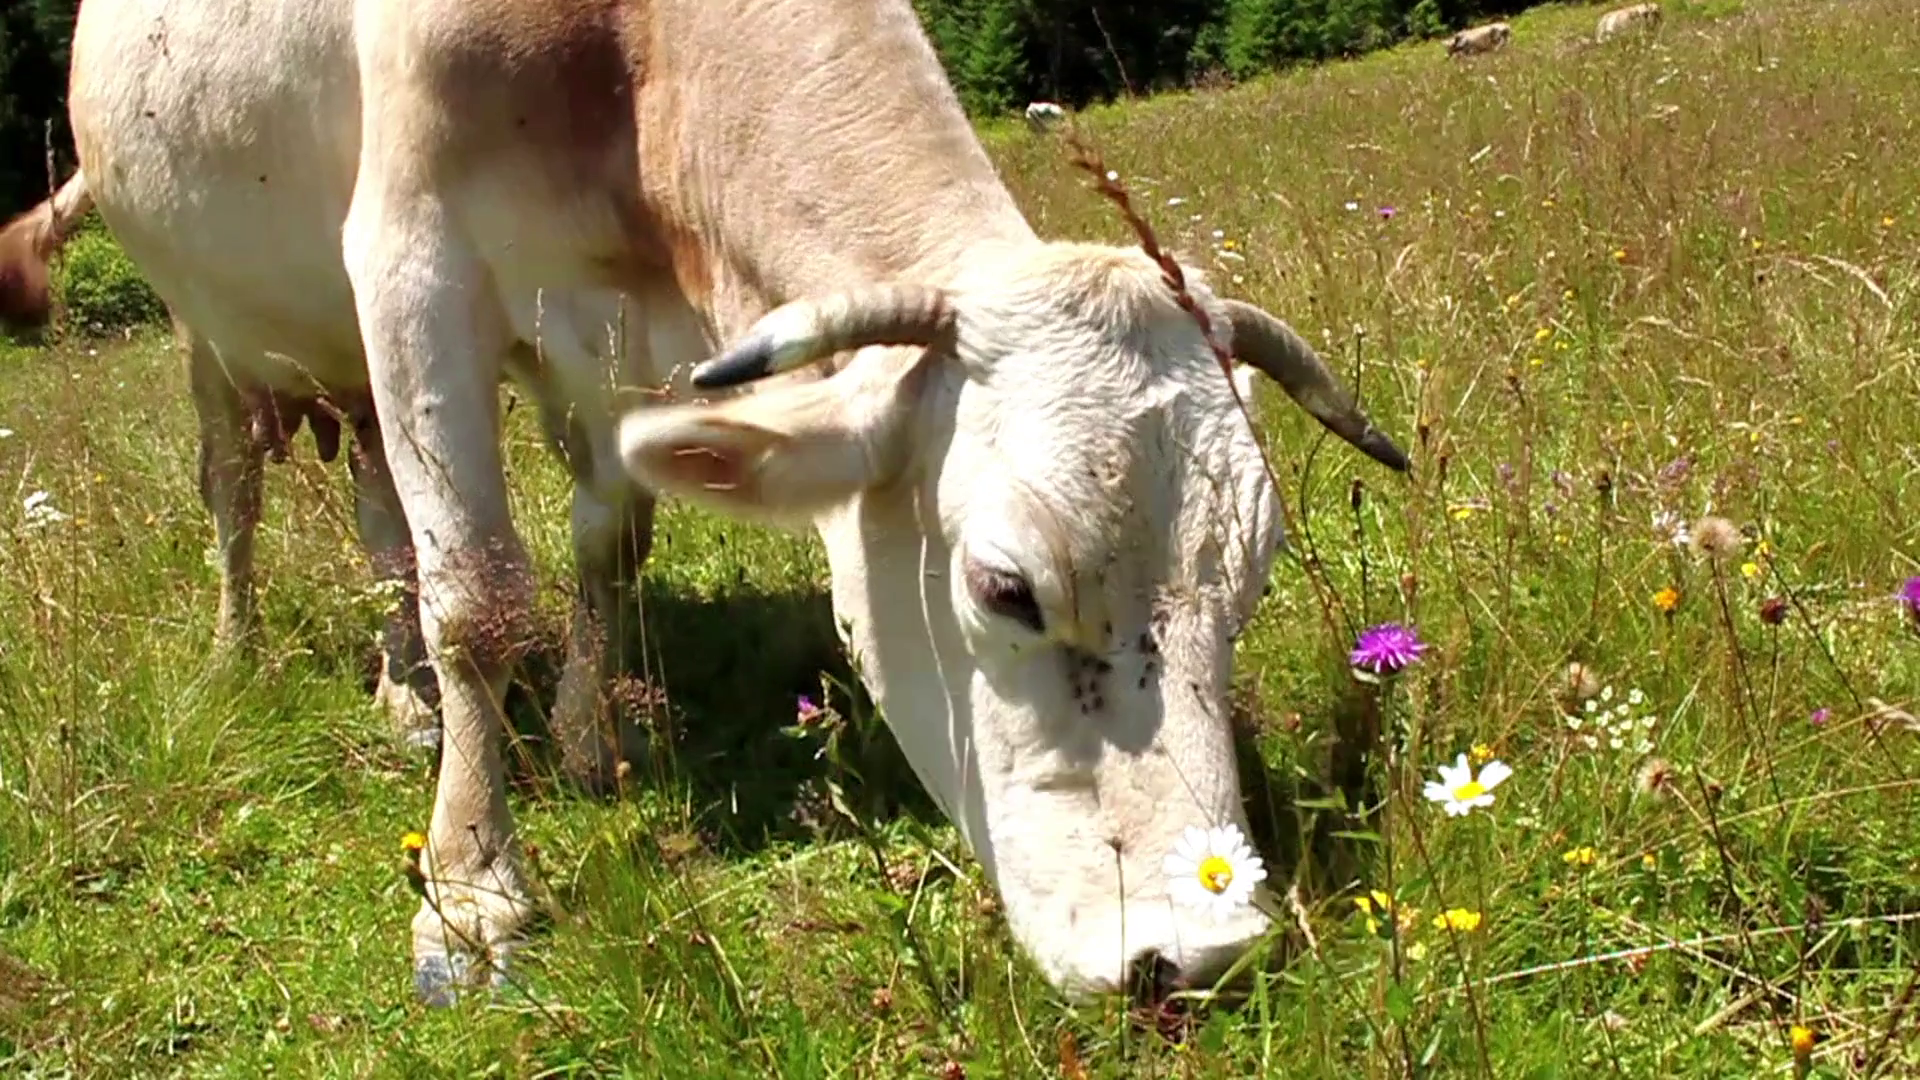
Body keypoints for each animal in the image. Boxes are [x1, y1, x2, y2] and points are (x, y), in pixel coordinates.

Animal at [1, 0, 1410, 1005]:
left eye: (1247, 588)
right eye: (1006, 588)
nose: (1206, 954)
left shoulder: (638, 336)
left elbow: (607, 543)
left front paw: (588, 737)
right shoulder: (408, 258)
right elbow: (481, 602)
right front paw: (472, 895)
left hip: (342, 367)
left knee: (377, 511)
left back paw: (404, 697)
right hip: (209, 331)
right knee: (238, 494)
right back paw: (240, 656)